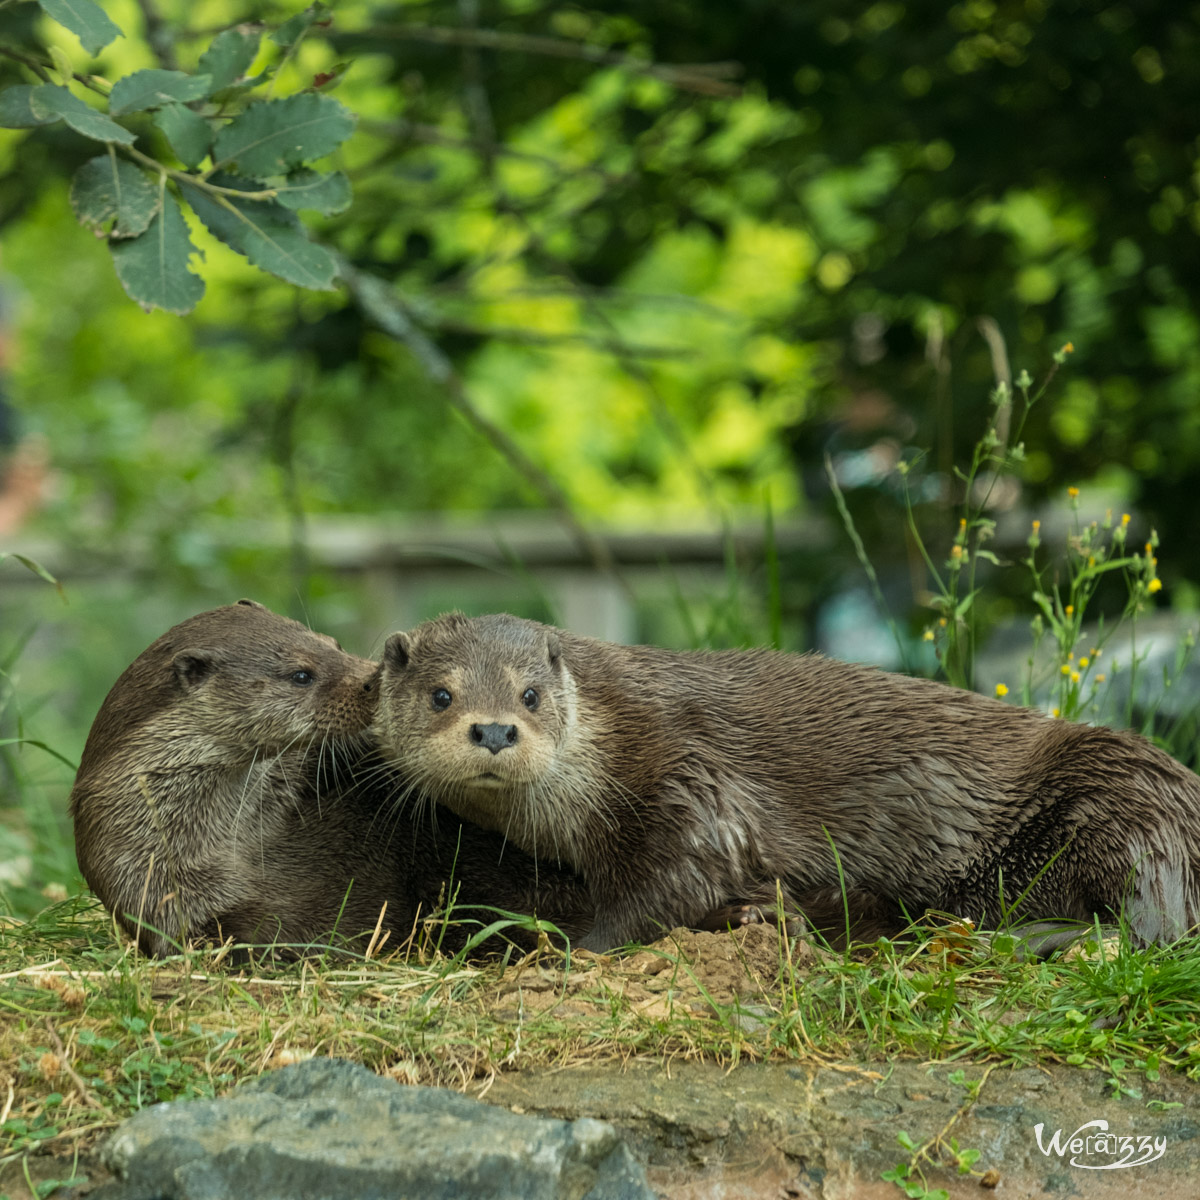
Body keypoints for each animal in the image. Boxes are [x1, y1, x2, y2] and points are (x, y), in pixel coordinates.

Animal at [374, 614, 1200, 950]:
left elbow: (680, 875)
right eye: (442, 695)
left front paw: (571, 945)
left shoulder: (684, 774)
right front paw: (761, 914)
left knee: (1151, 921)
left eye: (530, 695)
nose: (493, 730)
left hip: (1123, 791)